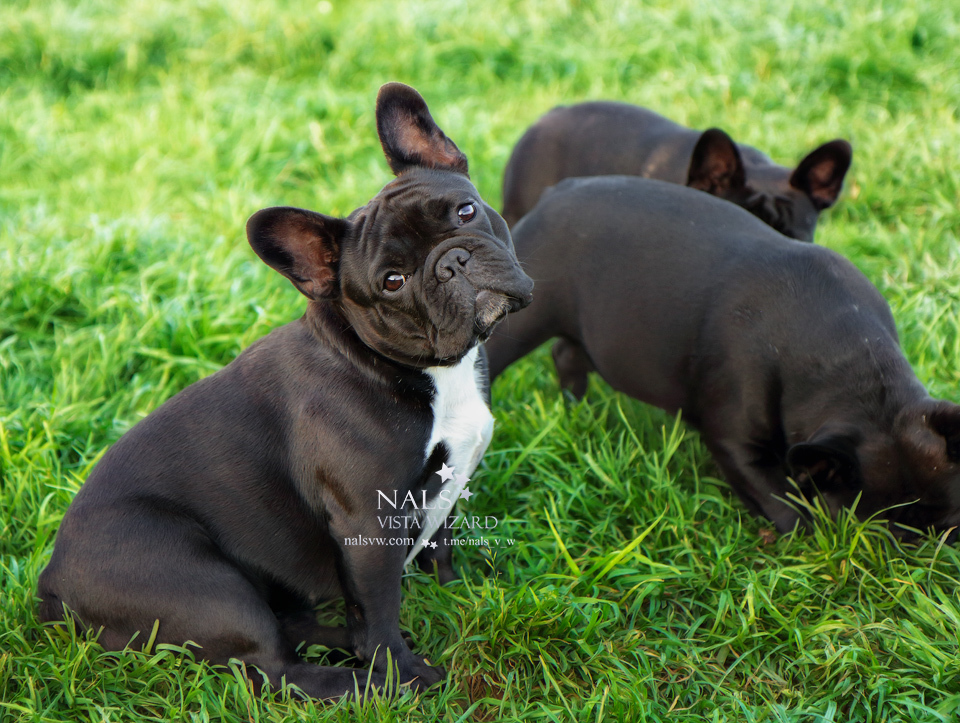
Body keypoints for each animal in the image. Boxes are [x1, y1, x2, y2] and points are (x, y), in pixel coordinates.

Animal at [37, 83, 532, 700]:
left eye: (465, 211)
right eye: (392, 282)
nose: (452, 262)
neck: (420, 370)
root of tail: (51, 583)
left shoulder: (446, 482)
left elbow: (441, 545)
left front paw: (458, 593)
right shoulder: (368, 525)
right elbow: (379, 610)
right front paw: (403, 673)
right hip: (203, 584)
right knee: (274, 668)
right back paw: (359, 682)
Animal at [488, 175, 960, 536]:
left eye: (952, 514)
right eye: (884, 529)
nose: (935, 540)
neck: (853, 370)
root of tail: (554, 194)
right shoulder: (735, 441)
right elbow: (777, 498)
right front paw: (804, 538)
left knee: (568, 353)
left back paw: (576, 408)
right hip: (520, 320)